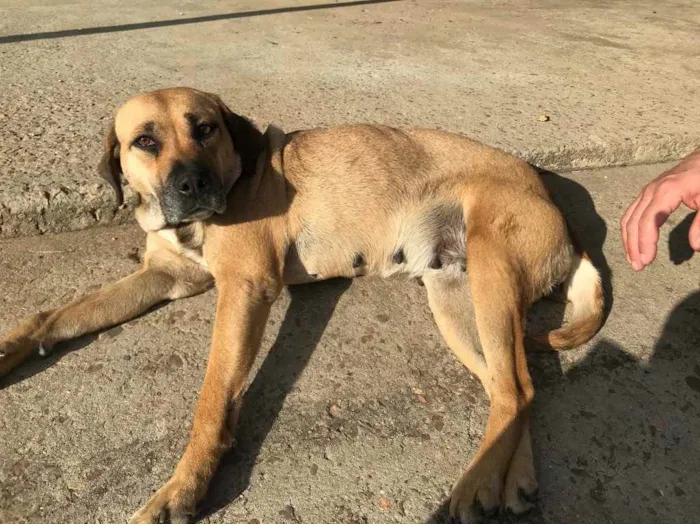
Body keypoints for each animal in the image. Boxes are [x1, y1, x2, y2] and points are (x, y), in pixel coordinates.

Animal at [0, 88, 600, 520]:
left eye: (205, 128)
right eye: (145, 140)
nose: (193, 184)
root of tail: (562, 216)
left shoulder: (246, 288)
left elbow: (212, 398)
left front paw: (184, 488)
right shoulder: (164, 277)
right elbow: (58, 315)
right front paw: (12, 346)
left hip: (491, 277)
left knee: (516, 385)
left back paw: (477, 485)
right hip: (455, 300)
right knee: (514, 387)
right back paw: (512, 479)